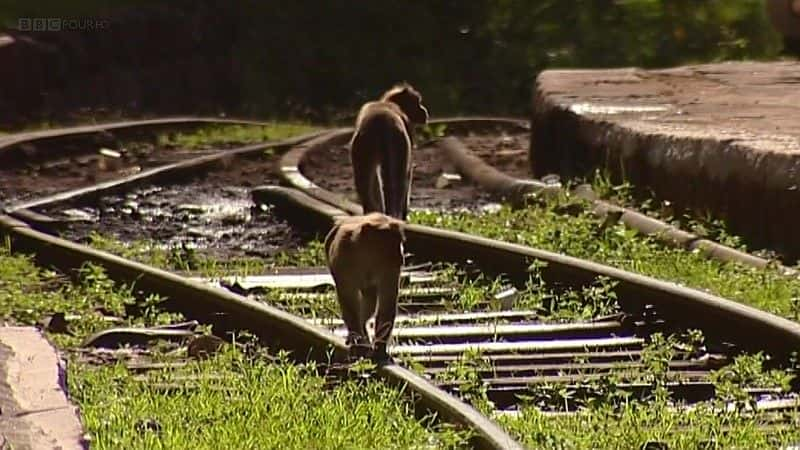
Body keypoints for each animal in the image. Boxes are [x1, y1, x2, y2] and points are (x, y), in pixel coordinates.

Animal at [324, 212, 406, 362]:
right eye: (393, 242)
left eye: (400, 241)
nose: (402, 256)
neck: (367, 254)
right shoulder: (344, 255)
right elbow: (348, 298)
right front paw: (358, 342)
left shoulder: (390, 268)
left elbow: (387, 302)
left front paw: (379, 350)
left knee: (370, 297)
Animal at [348, 83, 428, 221]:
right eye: (418, 102)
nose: (424, 111)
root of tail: (381, 122)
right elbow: (407, 175)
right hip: (399, 144)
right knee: (398, 181)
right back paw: (395, 215)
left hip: (362, 146)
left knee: (364, 181)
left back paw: (371, 213)